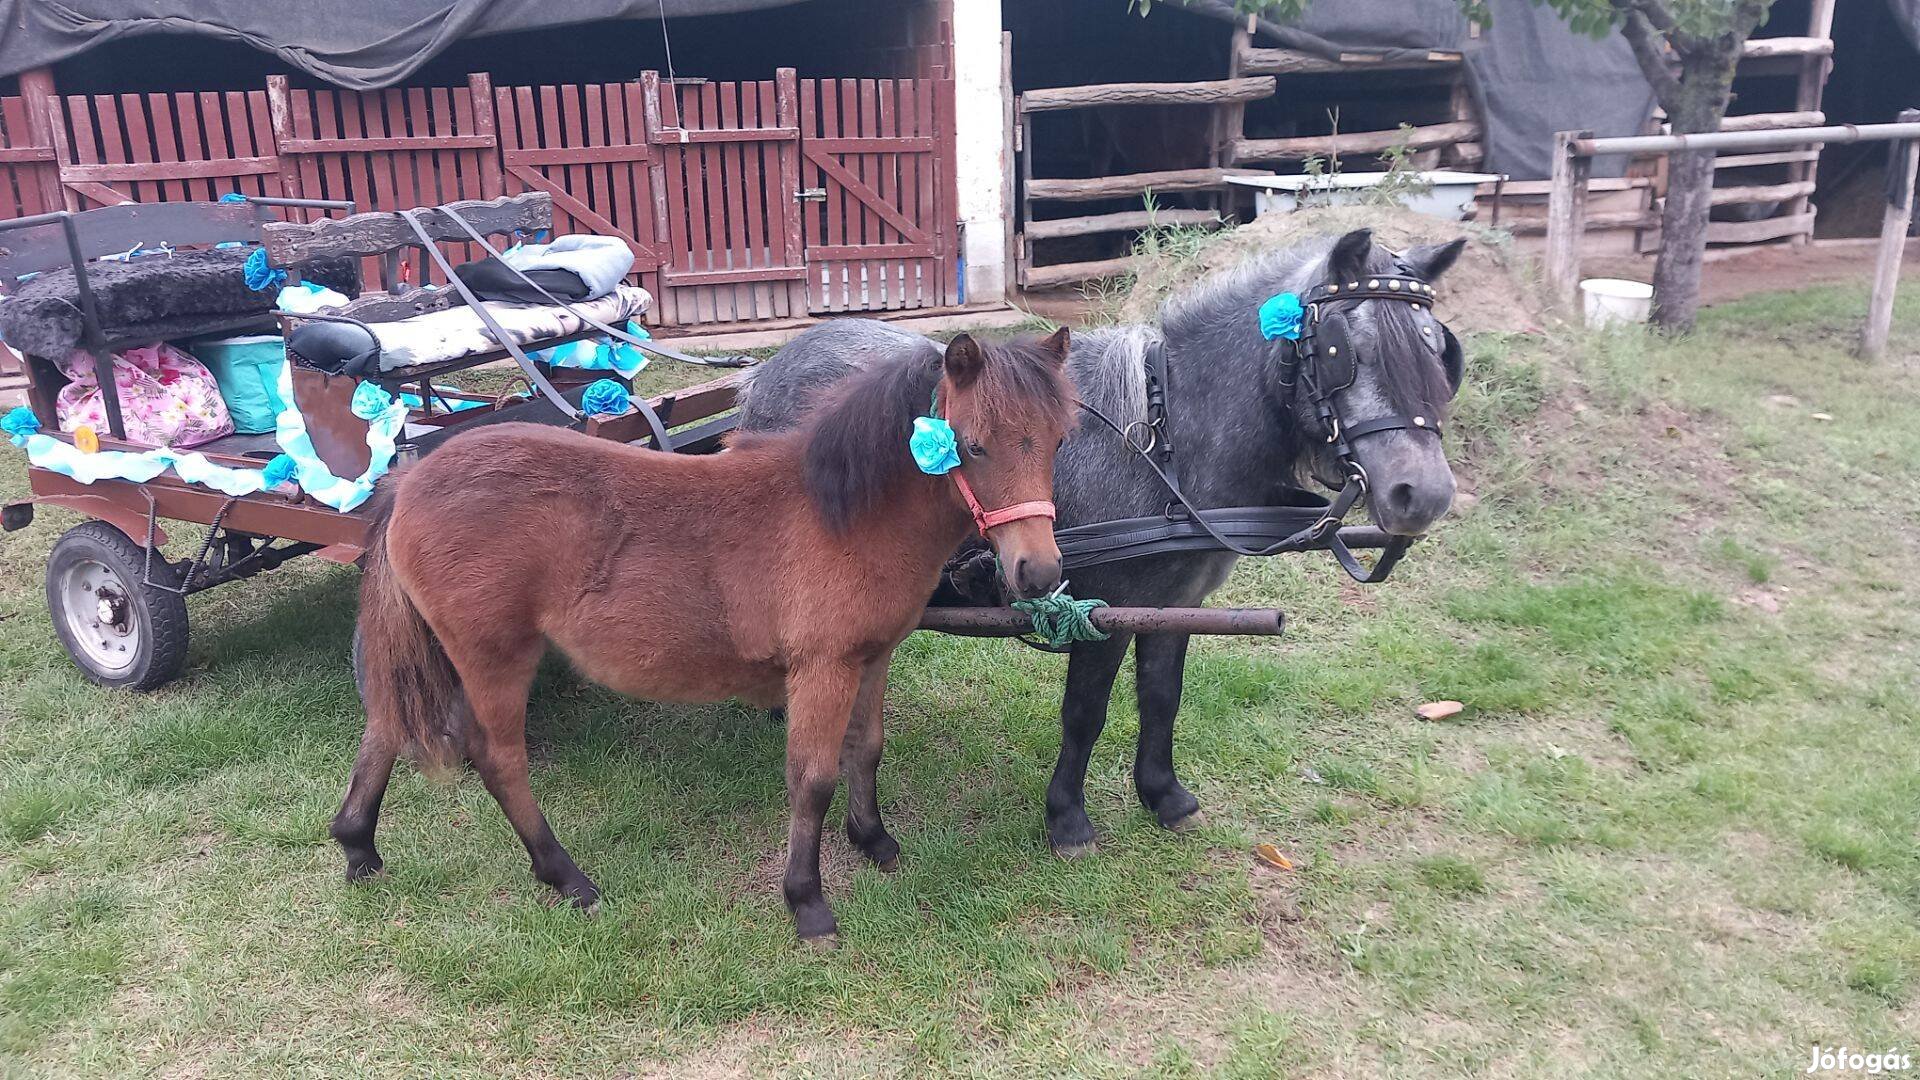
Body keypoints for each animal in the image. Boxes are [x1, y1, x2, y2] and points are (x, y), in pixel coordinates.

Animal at [336, 328, 1075, 933]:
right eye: (973, 446)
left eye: (1060, 440)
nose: (1037, 572)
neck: (840, 514)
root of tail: (409, 483)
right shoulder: (823, 668)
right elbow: (812, 778)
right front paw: (807, 902)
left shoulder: (872, 658)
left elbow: (866, 751)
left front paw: (875, 841)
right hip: (494, 658)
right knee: (499, 760)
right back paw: (567, 877)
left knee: (385, 726)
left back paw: (357, 846)